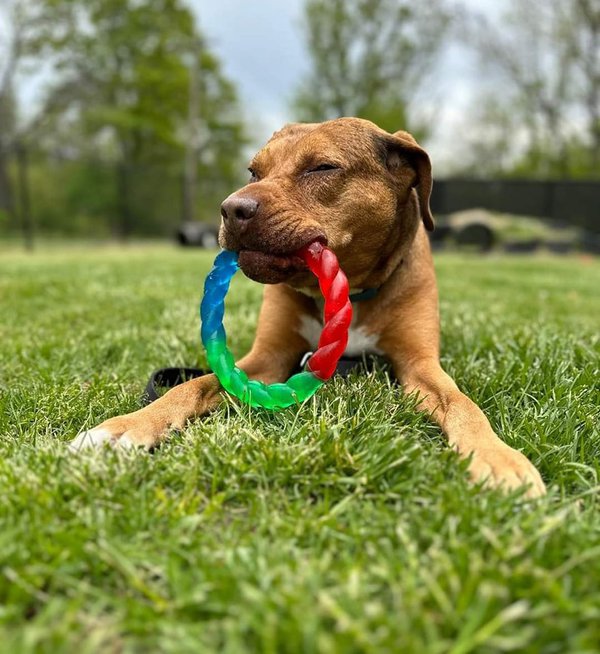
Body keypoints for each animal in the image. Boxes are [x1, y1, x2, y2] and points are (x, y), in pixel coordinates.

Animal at [69, 116, 544, 498]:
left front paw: (498, 457)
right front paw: (124, 427)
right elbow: (194, 385)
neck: (353, 291)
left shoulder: (420, 365)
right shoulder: (265, 362)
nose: (230, 209)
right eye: (253, 170)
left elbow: (462, 404)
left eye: (322, 167)